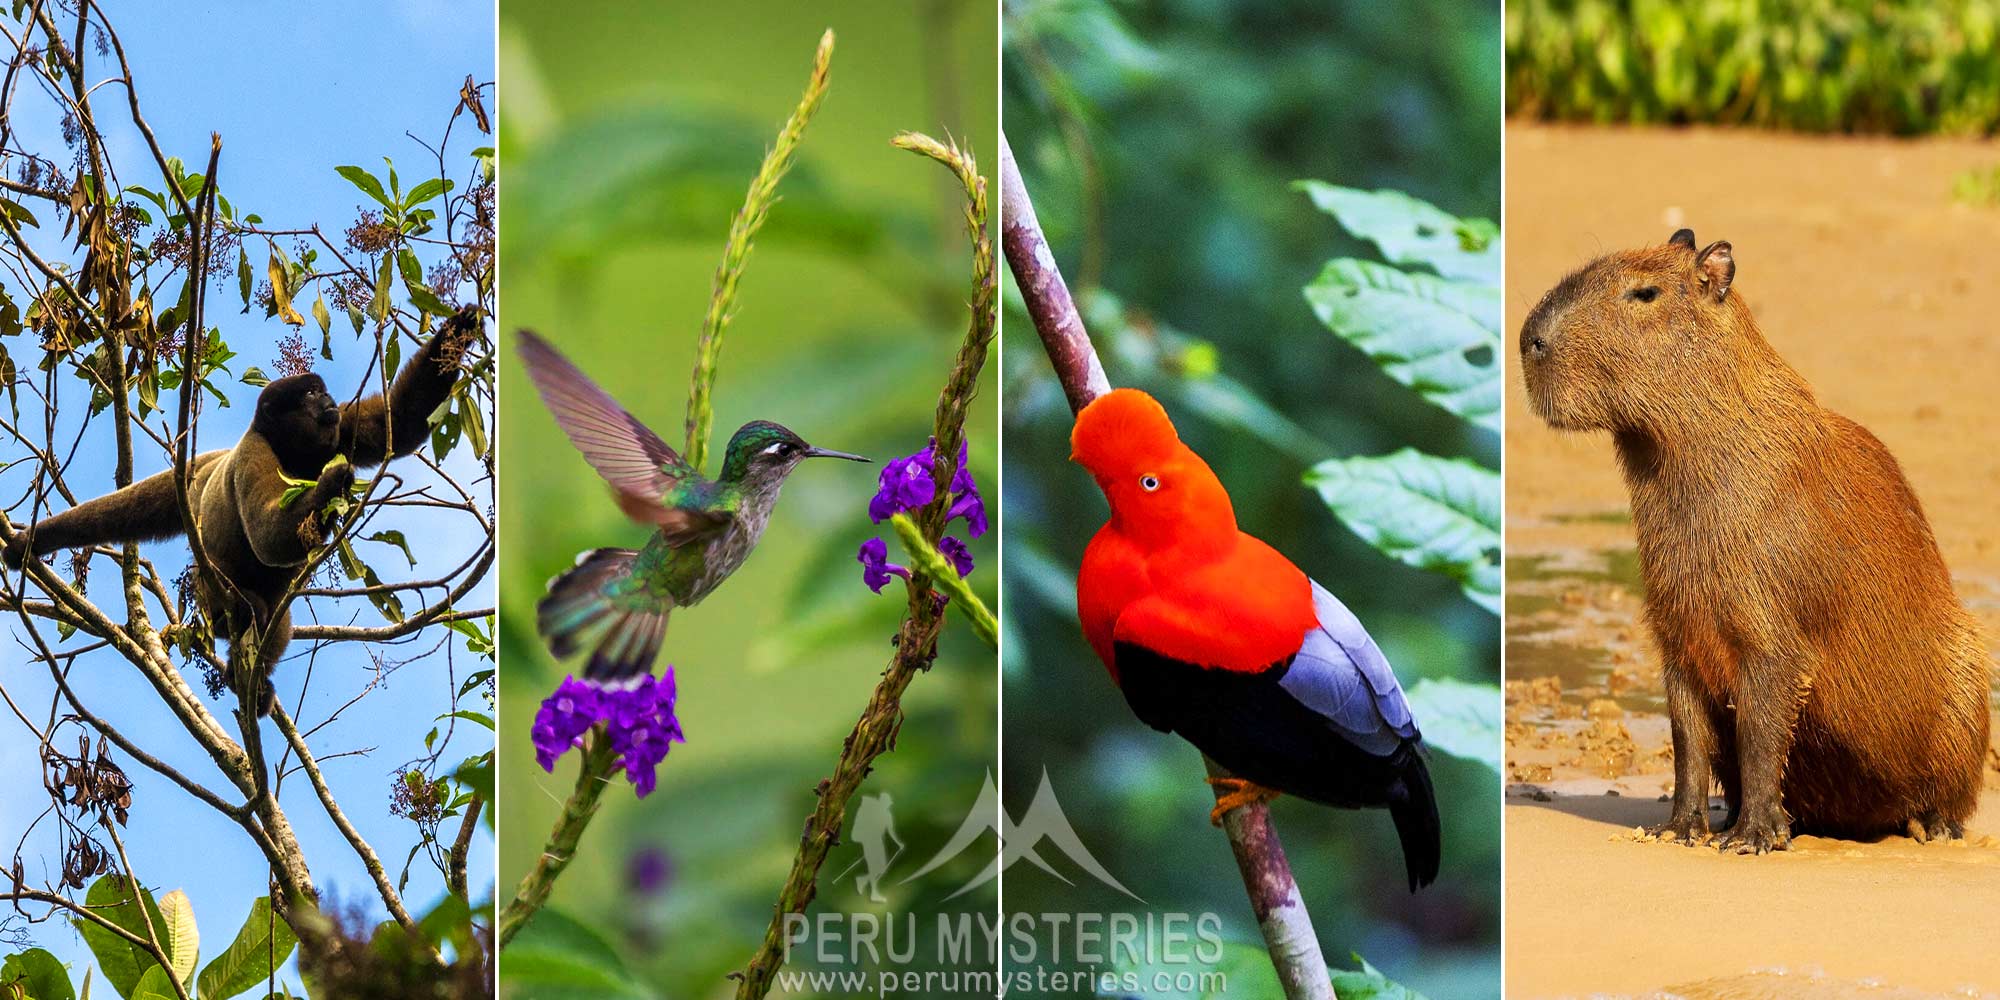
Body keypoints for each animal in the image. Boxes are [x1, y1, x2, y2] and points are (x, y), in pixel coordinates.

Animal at [4, 306, 481, 714]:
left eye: (323, 391)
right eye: (311, 392)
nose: (327, 397)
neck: (292, 449)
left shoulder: (340, 429)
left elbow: (399, 422)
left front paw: (461, 325)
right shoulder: (255, 453)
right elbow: (267, 536)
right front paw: (332, 486)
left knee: (277, 620)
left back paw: (248, 678)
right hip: (206, 581)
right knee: (238, 593)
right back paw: (239, 618)